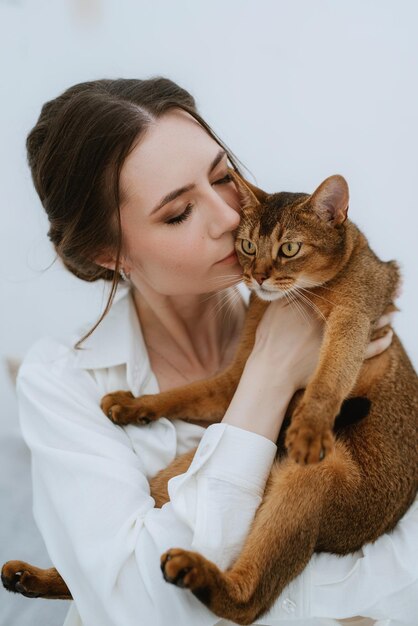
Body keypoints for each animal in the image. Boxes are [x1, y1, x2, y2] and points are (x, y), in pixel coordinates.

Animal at [3, 172, 418, 624]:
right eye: (248, 246)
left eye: (289, 249)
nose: (257, 277)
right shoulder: (238, 377)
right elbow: (187, 392)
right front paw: (134, 404)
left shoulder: (354, 319)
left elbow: (329, 379)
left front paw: (309, 429)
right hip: (185, 466)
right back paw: (28, 577)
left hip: (319, 482)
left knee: (250, 602)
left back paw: (196, 573)